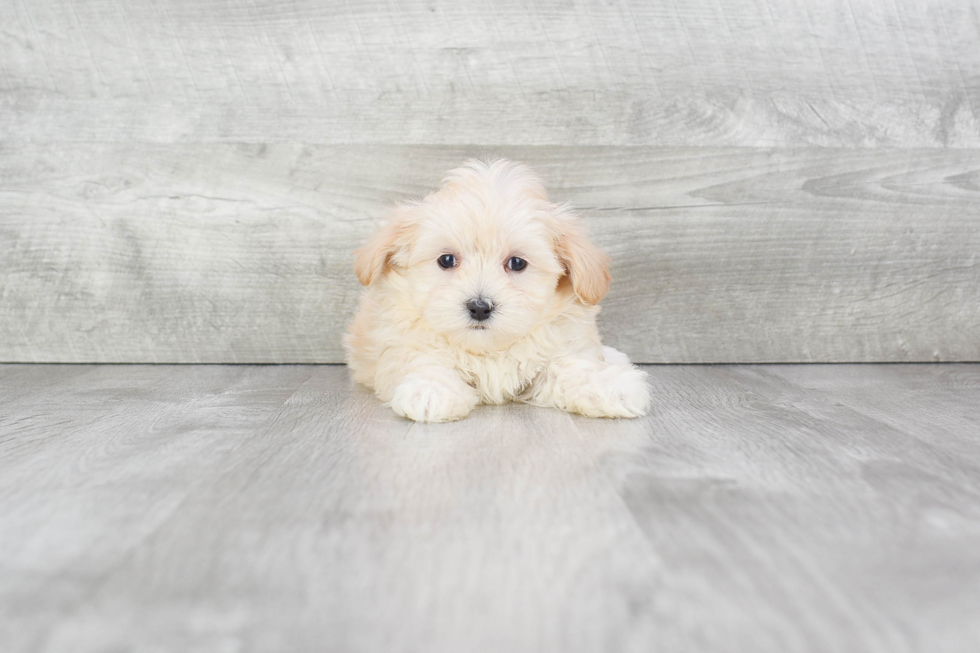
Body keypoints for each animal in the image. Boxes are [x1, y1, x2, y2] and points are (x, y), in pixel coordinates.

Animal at [344, 159, 652, 422]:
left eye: (516, 263)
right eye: (447, 260)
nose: (479, 307)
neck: (489, 351)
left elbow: (570, 365)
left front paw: (608, 386)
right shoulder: (399, 339)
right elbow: (421, 358)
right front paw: (431, 389)